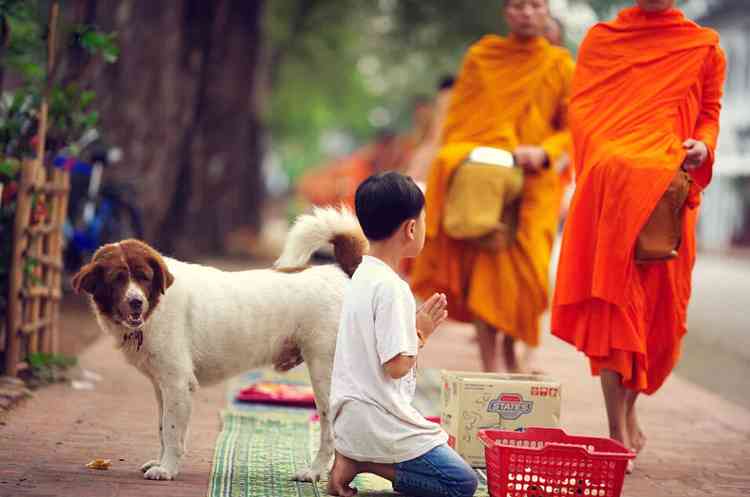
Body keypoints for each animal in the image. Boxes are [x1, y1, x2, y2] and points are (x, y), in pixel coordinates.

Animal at [74, 206, 370, 480]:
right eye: (117, 279)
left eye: (144, 277)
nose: (136, 302)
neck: (156, 305)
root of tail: (344, 273)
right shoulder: (162, 385)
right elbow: (162, 429)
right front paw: (161, 462)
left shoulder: (177, 383)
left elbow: (171, 432)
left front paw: (167, 469)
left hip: (324, 373)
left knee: (331, 432)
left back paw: (315, 471)